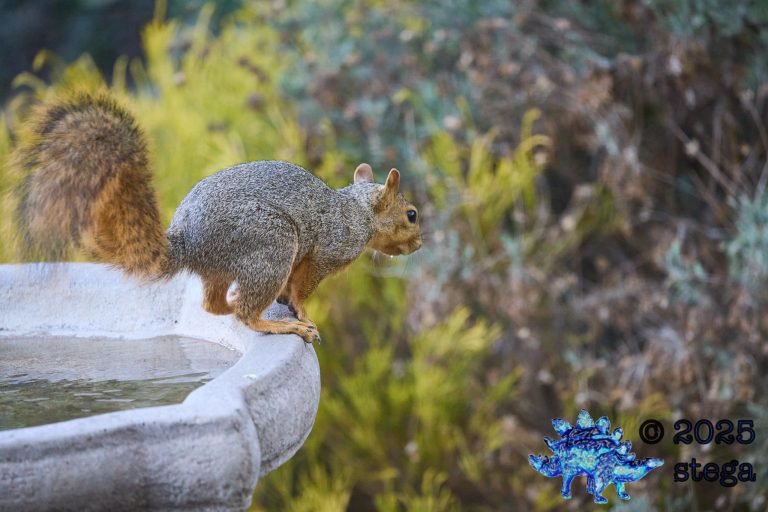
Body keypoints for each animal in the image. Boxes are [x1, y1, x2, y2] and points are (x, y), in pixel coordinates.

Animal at [12, 92, 422, 343]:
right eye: (412, 215)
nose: (419, 245)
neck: (359, 210)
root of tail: (188, 243)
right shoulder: (328, 250)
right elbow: (303, 287)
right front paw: (302, 312)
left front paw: (288, 300)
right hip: (270, 243)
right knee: (245, 311)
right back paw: (279, 324)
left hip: (228, 264)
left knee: (213, 304)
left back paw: (234, 304)